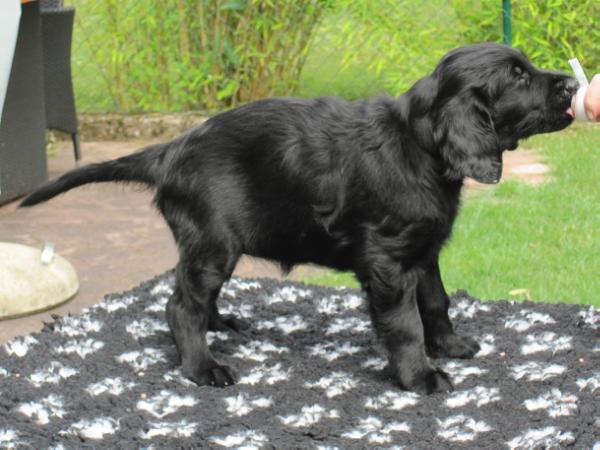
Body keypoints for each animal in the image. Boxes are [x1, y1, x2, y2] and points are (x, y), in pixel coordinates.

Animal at [22, 42, 576, 394]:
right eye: (518, 76)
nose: (571, 83)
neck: (418, 149)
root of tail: (170, 149)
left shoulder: (424, 249)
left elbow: (436, 302)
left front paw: (451, 345)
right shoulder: (388, 262)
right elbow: (405, 323)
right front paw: (420, 375)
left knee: (195, 298)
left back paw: (222, 324)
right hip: (213, 242)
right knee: (181, 306)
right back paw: (203, 368)